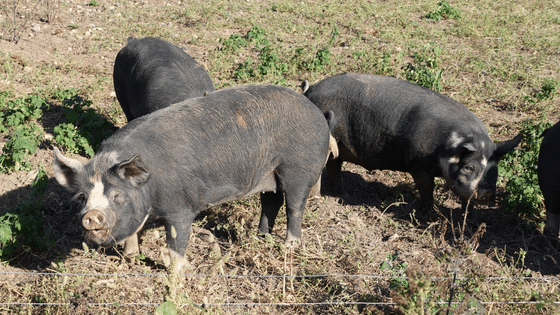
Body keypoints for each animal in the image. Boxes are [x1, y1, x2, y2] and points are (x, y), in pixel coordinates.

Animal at [52, 85, 334, 272]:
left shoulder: (181, 207)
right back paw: (260, 237)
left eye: (117, 195)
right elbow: (134, 231)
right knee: (271, 202)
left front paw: (177, 276)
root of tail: (318, 113)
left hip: (299, 168)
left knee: (294, 206)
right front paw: (131, 258)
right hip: (269, 174)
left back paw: (288, 247)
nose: (91, 216)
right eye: (83, 198)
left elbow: (176, 244)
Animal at [304, 73, 524, 214]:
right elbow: (427, 190)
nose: (486, 194)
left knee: (334, 164)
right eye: (469, 167)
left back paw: (344, 194)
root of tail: (310, 91)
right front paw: (428, 215)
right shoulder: (418, 165)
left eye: (494, 170)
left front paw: (465, 216)